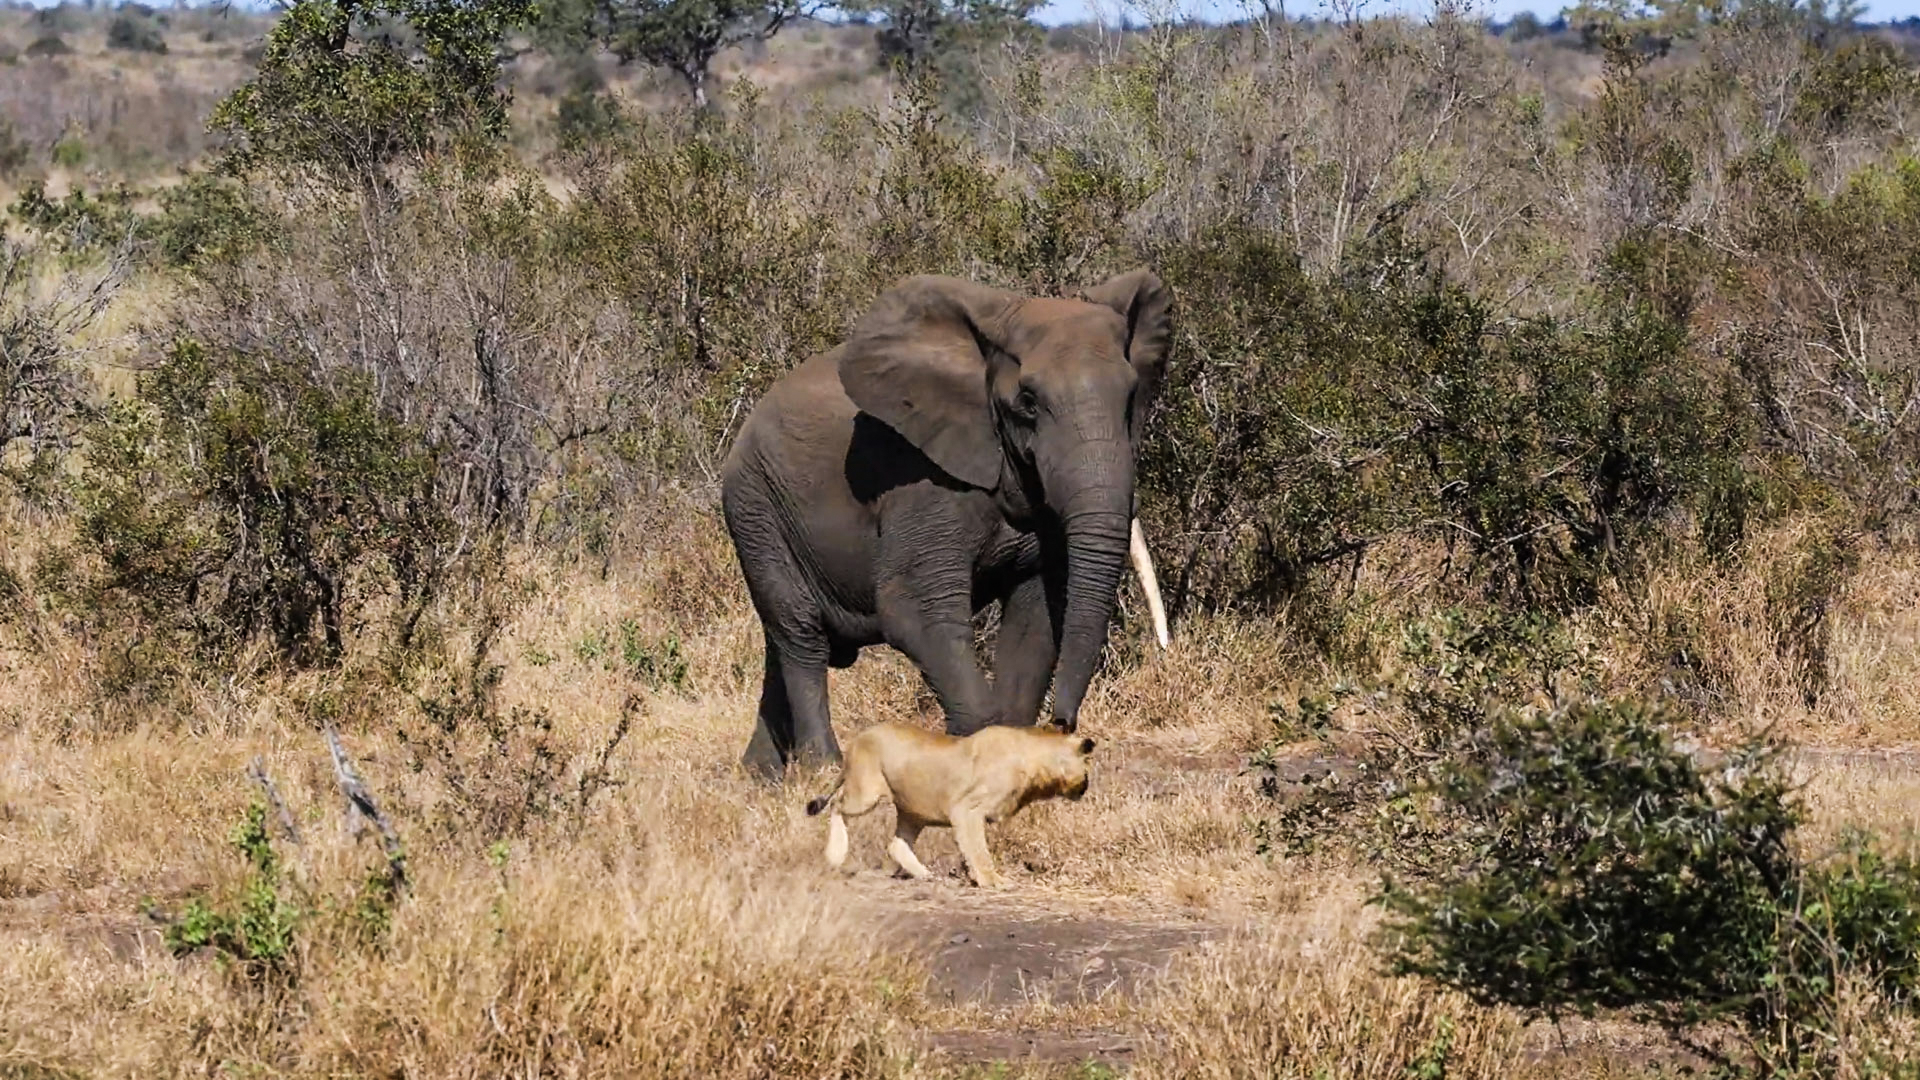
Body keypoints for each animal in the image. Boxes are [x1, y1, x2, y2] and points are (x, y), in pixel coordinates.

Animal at [718, 267, 1175, 780]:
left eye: (1132, 397)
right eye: (1029, 402)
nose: (1064, 723)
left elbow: (1036, 615)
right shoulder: (920, 483)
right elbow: (915, 610)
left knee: (779, 642)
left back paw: (760, 776)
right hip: (757, 508)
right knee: (801, 635)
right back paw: (821, 771)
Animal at [803, 721, 1097, 888]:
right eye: (1086, 769)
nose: (1087, 786)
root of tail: (857, 738)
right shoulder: (967, 809)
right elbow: (978, 850)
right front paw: (993, 881)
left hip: (913, 810)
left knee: (897, 843)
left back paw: (925, 874)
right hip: (865, 794)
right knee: (837, 804)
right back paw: (836, 854)